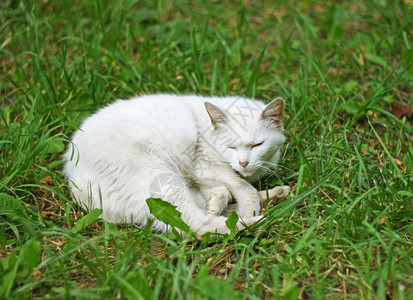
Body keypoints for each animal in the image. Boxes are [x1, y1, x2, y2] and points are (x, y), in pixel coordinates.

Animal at [64, 95, 290, 238]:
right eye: (231, 146)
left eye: (257, 144)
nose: (244, 163)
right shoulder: (203, 165)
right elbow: (241, 186)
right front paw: (246, 208)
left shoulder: (199, 177)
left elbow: (229, 189)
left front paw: (218, 201)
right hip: (160, 178)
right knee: (197, 226)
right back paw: (256, 220)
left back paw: (276, 195)